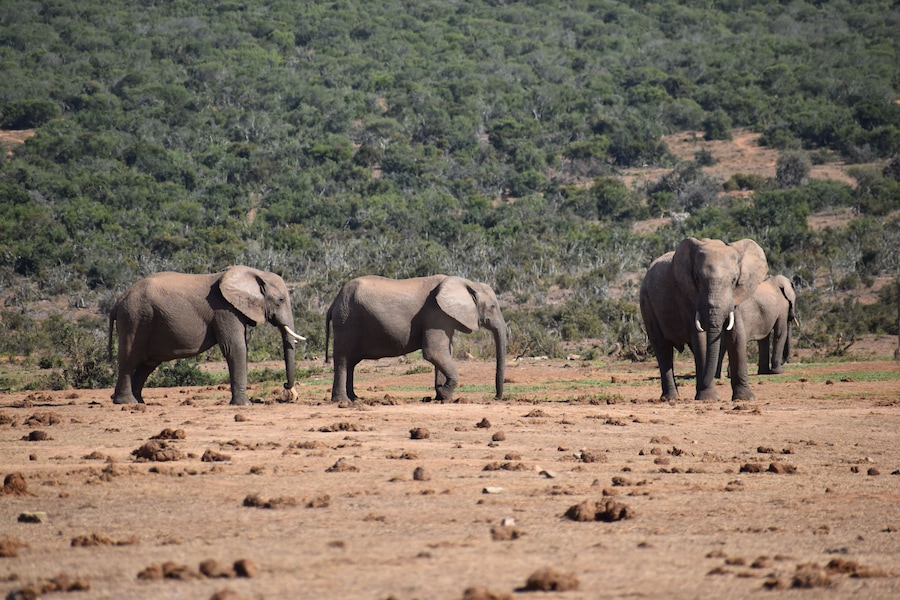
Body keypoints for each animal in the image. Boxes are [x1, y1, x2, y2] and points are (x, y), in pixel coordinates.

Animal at [108, 265, 305, 405]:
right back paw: (127, 402)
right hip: (134, 318)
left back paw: (139, 401)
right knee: (129, 359)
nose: (287, 390)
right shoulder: (224, 309)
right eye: (280, 300)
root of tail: (117, 302)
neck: (255, 273)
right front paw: (244, 405)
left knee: (148, 364)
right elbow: (235, 348)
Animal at [325, 275, 507, 403]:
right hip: (347, 321)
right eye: (492, 307)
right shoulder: (437, 314)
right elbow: (434, 352)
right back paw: (343, 401)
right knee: (343, 359)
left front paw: (441, 398)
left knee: (351, 362)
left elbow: (445, 352)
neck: (467, 283)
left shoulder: (444, 317)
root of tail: (334, 302)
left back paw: (354, 398)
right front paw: (444, 393)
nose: (496, 398)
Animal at [639, 237, 768, 402]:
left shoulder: (736, 296)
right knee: (662, 348)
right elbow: (700, 338)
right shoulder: (686, 295)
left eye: (734, 280)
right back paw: (671, 399)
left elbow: (736, 335)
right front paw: (709, 398)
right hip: (647, 302)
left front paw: (745, 399)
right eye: (697, 279)